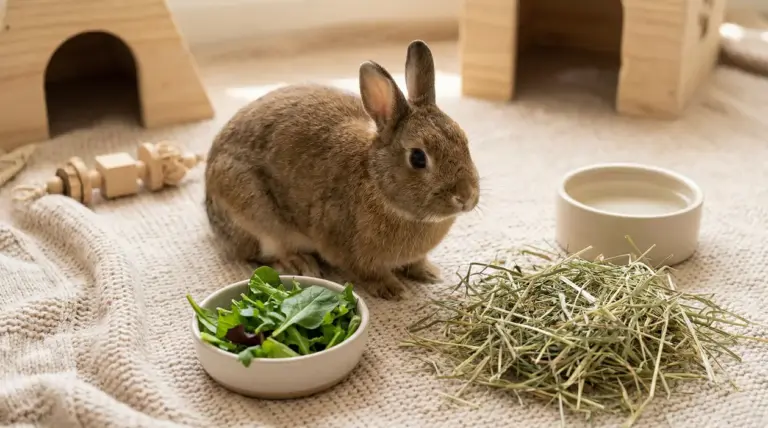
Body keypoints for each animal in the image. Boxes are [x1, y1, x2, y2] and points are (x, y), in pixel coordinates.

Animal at [204, 40, 480, 300]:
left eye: (464, 140)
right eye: (418, 158)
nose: (466, 197)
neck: (376, 182)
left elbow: (416, 263)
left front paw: (429, 273)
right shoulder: (349, 251)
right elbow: (369, 272)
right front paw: (392, 289)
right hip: (255, 216)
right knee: (263, 252)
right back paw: (299, 263)